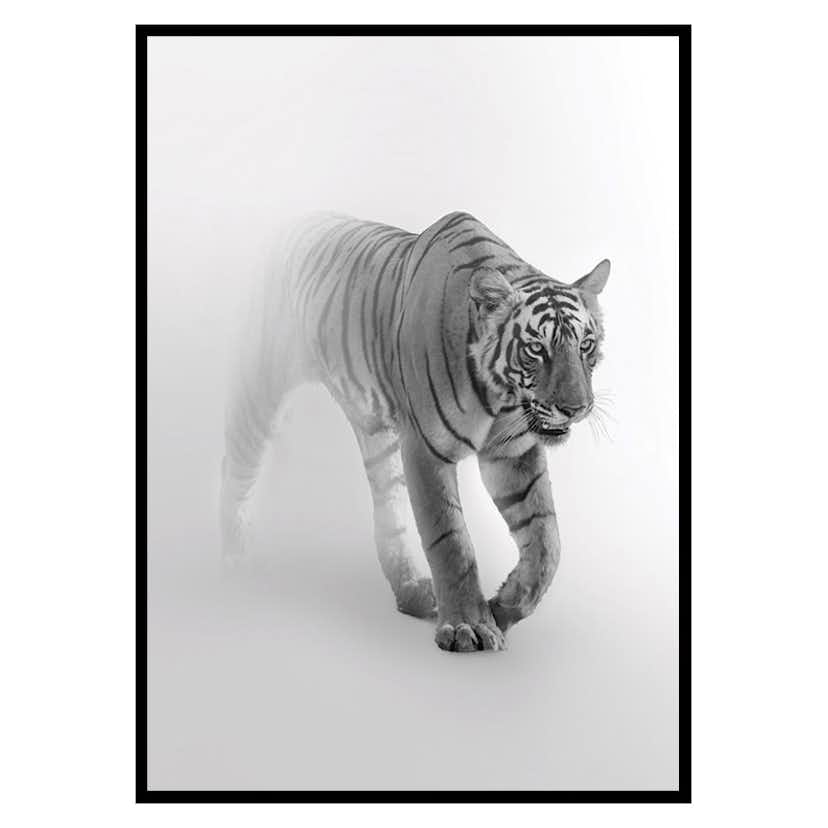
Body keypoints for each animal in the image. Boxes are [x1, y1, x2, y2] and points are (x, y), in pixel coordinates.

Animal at [220, 210, 610, 653]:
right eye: (536, 349)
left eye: (585, 345)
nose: (576, 408)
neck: (500, 398)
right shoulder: (426, 449)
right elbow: (451, 540)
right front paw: (468, 626)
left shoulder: (511, 453)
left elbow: (547, 541)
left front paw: (505, 606)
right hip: (261, 383)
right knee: (235, 462)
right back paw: (231, 556)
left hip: (378, 436)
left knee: (389, 515)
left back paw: (411, 592)